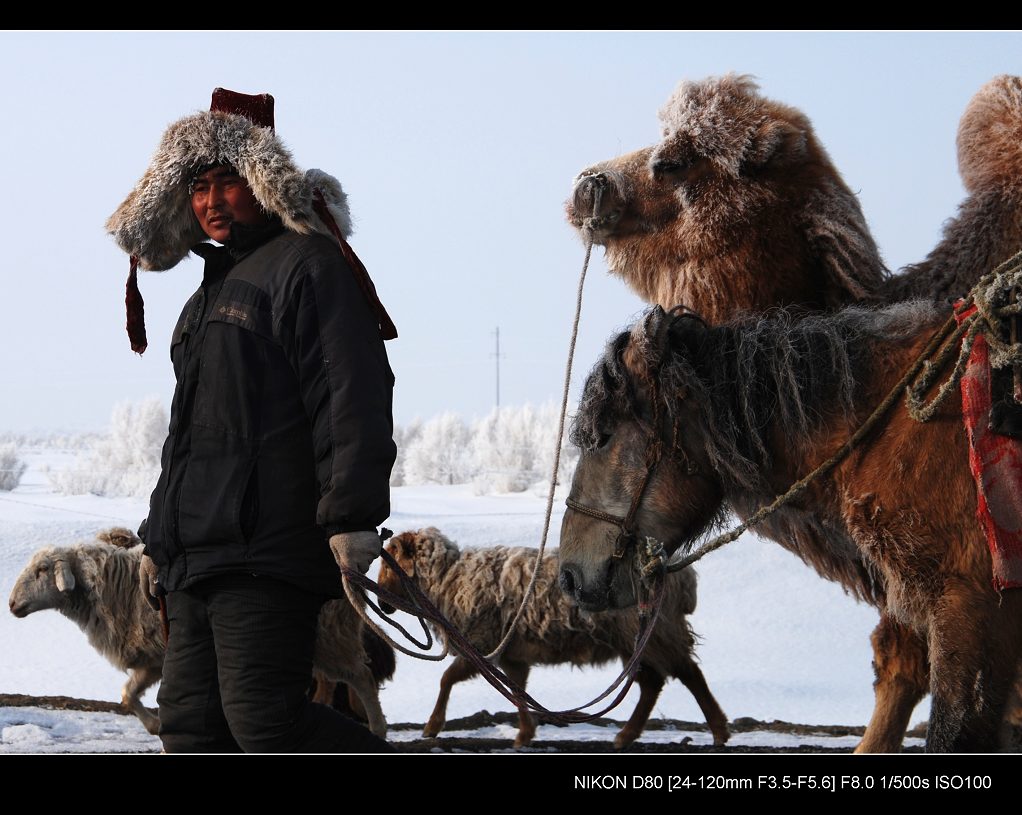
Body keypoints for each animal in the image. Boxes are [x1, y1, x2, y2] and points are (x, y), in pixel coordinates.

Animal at [380, 523, 731, 748]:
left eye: (390, 562)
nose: (382, 605)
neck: (447, 578)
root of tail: (682, 577)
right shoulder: (512, 654)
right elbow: (518, 691)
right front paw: (524, 735)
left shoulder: (481, 644)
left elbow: (447, 679)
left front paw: (431, 726)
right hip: (637, 640)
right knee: (653, 683)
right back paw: (627, 736)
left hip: (655, 632)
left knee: (687, 673)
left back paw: (718, 730)